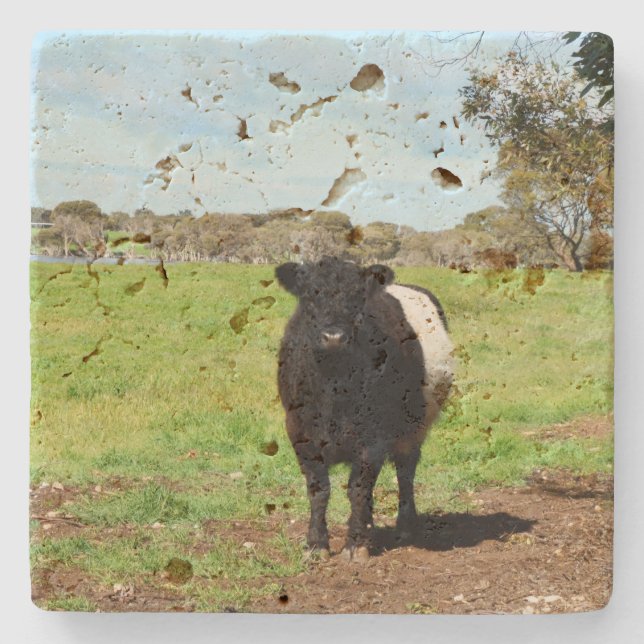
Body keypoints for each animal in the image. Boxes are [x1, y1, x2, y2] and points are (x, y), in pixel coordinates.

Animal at [276, 257, 454, 562]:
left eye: (357, 298)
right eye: (309, 295)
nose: (333, 336)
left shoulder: (373, 437)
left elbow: (358, 488)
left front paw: (356, 545)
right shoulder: (300, 431)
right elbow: (318, 489)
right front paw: (316, 544)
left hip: (415, 426)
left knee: (405, 472)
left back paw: (405, 527)